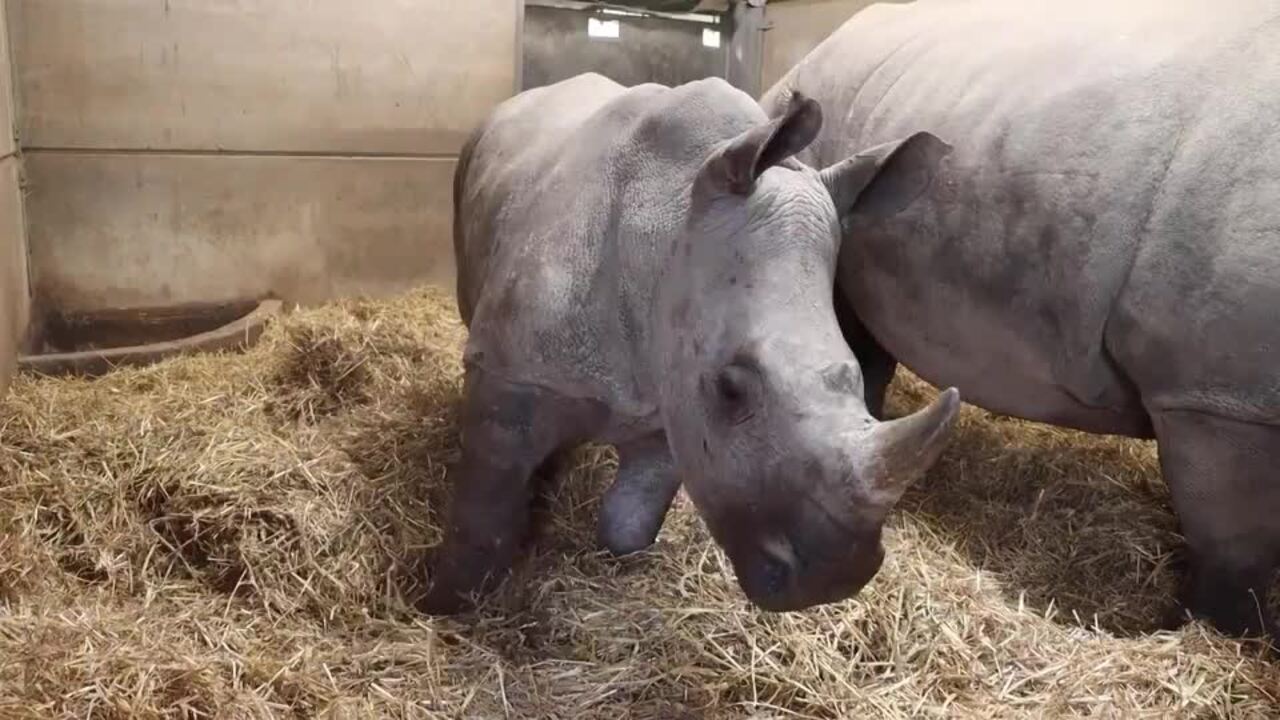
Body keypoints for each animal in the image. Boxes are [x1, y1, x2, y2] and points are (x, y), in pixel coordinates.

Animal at [419, 71, 962, 609]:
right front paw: (449, 605)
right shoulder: (510, 371)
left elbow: (631, 523)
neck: (667, 231)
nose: (831, 581)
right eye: (731, 390)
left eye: (855, 378)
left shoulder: (673, 396)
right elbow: (482, 519)